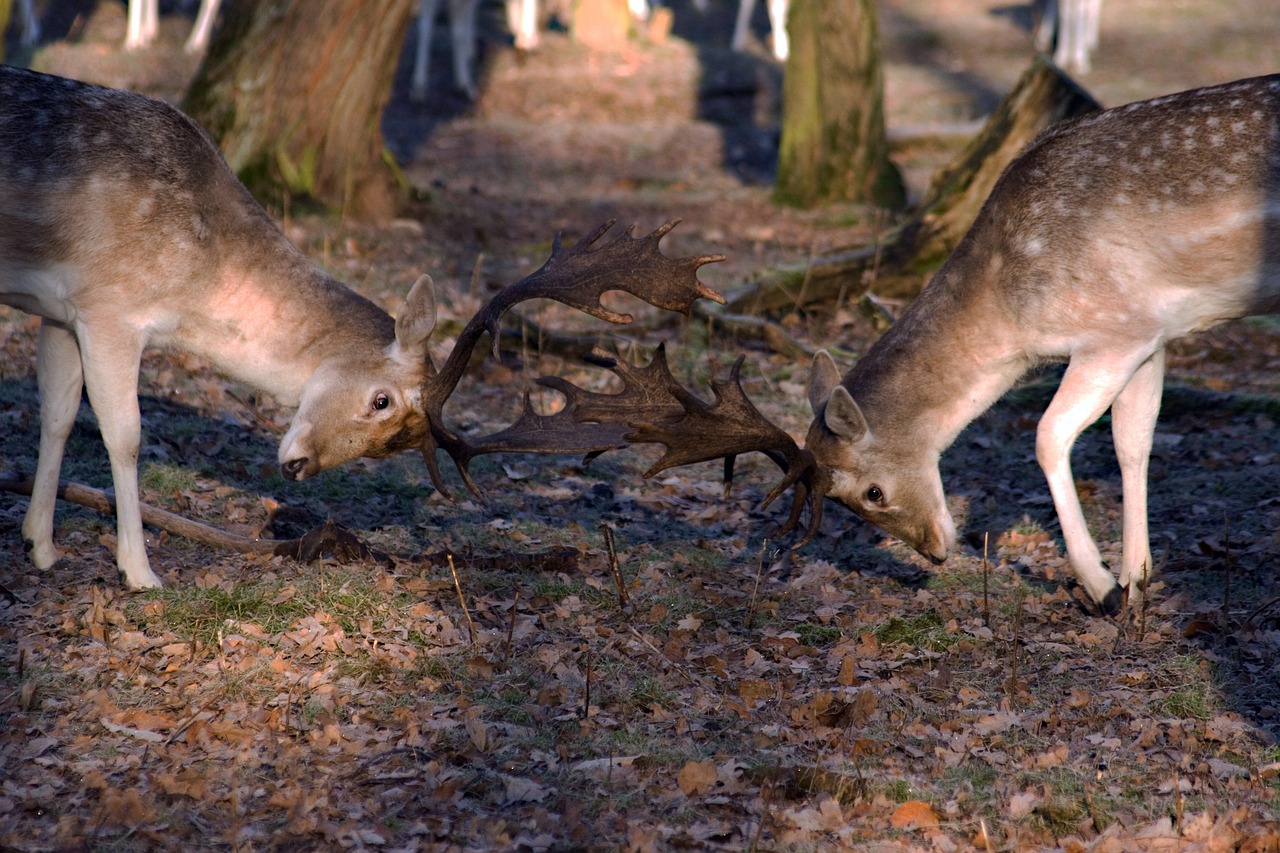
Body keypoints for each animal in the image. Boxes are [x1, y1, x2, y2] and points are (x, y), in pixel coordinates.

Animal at [0, 66, 727, 589]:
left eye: (392, 446)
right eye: (381, 400)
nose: (298, 465)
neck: (196, 273)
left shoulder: (61, 310)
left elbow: (57, 415)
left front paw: (41, 546)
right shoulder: (109, 305)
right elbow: (124, 435)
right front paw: (141, 573)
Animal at [803, 74, 1280, 612]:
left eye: (873, 493)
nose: (935, 553)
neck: (1015, 325)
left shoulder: (1114, 327)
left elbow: (1049, 435)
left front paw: (1103, 588)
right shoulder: (1151, 335)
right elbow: (1132, 442)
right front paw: (1135, 579)